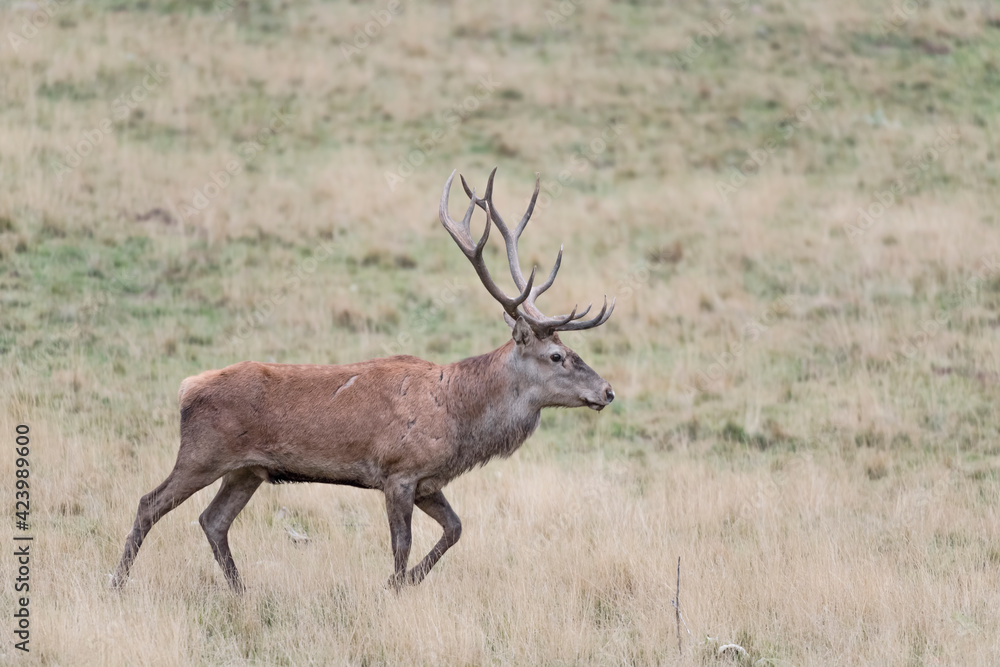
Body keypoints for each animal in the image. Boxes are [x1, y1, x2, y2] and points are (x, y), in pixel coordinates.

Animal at [111, 167, 616, 593]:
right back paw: (117, 582)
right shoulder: (399, 471)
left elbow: (455, 529)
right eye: (556, 356)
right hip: (203, 452)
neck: (459, 418)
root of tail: (187, 387)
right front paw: (393, 586)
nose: (607, 391)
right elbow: (401, 544)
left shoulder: (428, 480)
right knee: (149, 502)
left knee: (213, 521)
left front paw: (405, 582)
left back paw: (240, 589)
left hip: (247, 470)